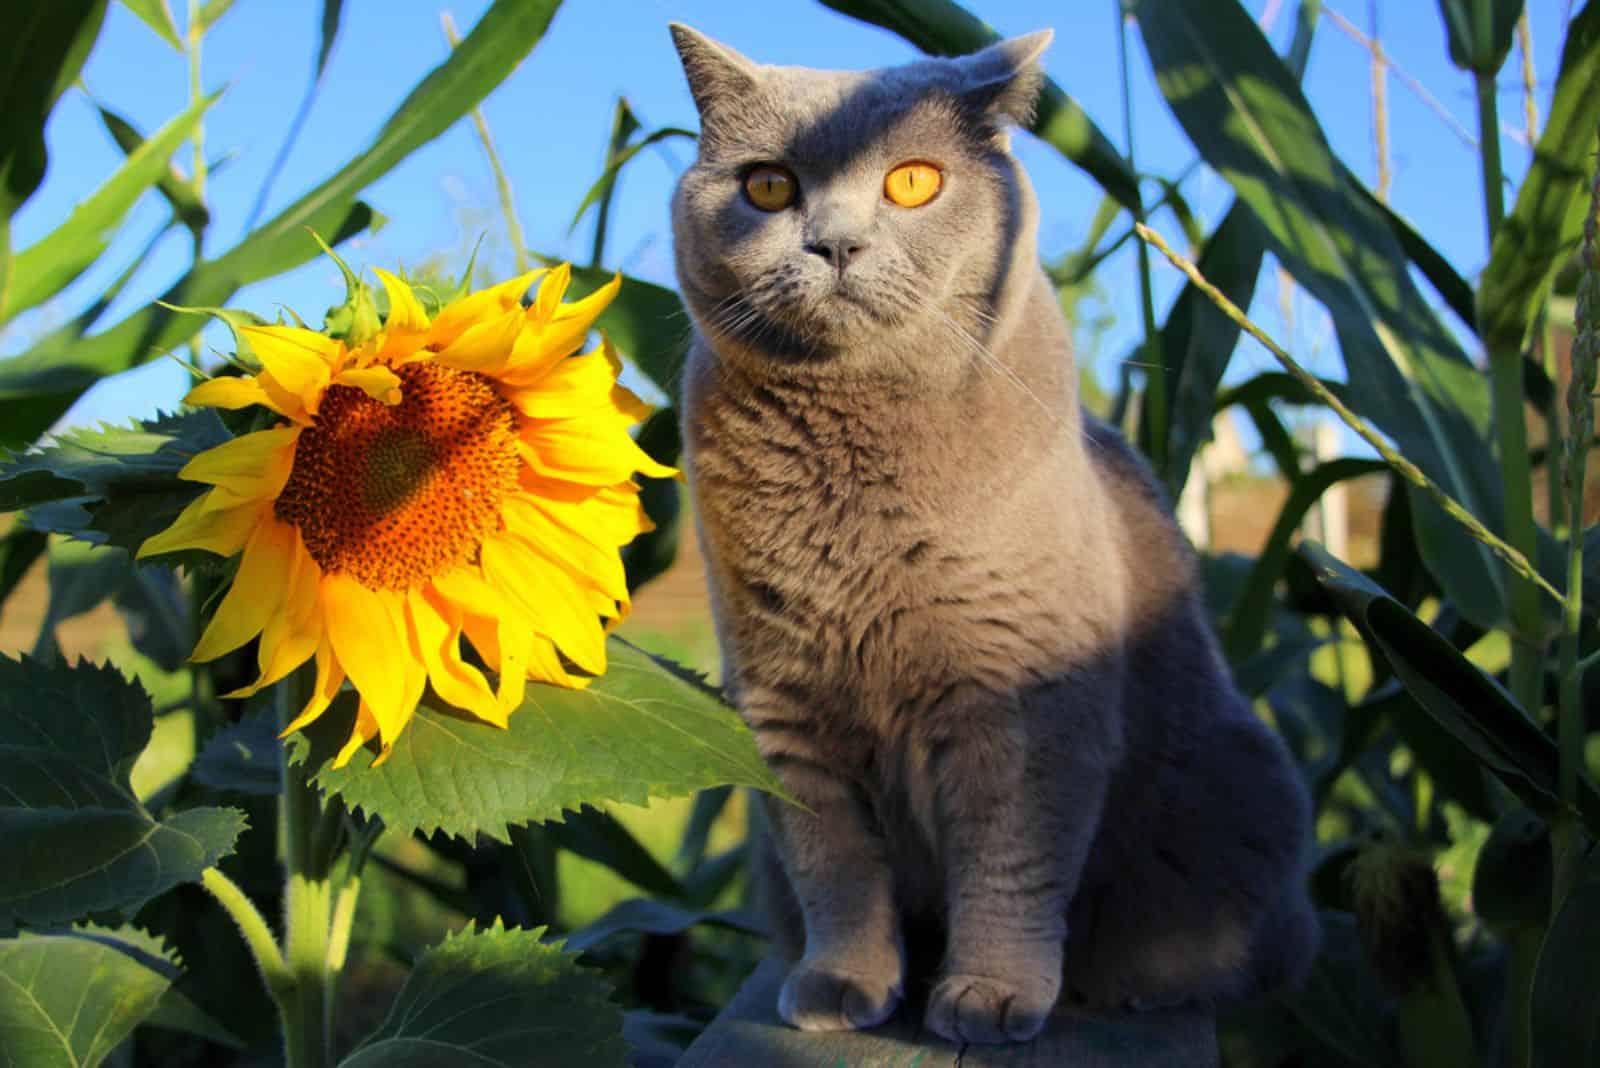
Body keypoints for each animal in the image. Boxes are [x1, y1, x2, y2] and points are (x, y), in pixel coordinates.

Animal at [668, 22, 1318, 1042]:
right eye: (768, 186)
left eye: (912, 182)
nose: (835, 242)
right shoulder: (785, 700)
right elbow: (833, 864)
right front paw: (840, 985)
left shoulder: (1028, 697)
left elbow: (1012, 859)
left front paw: (991, 995)